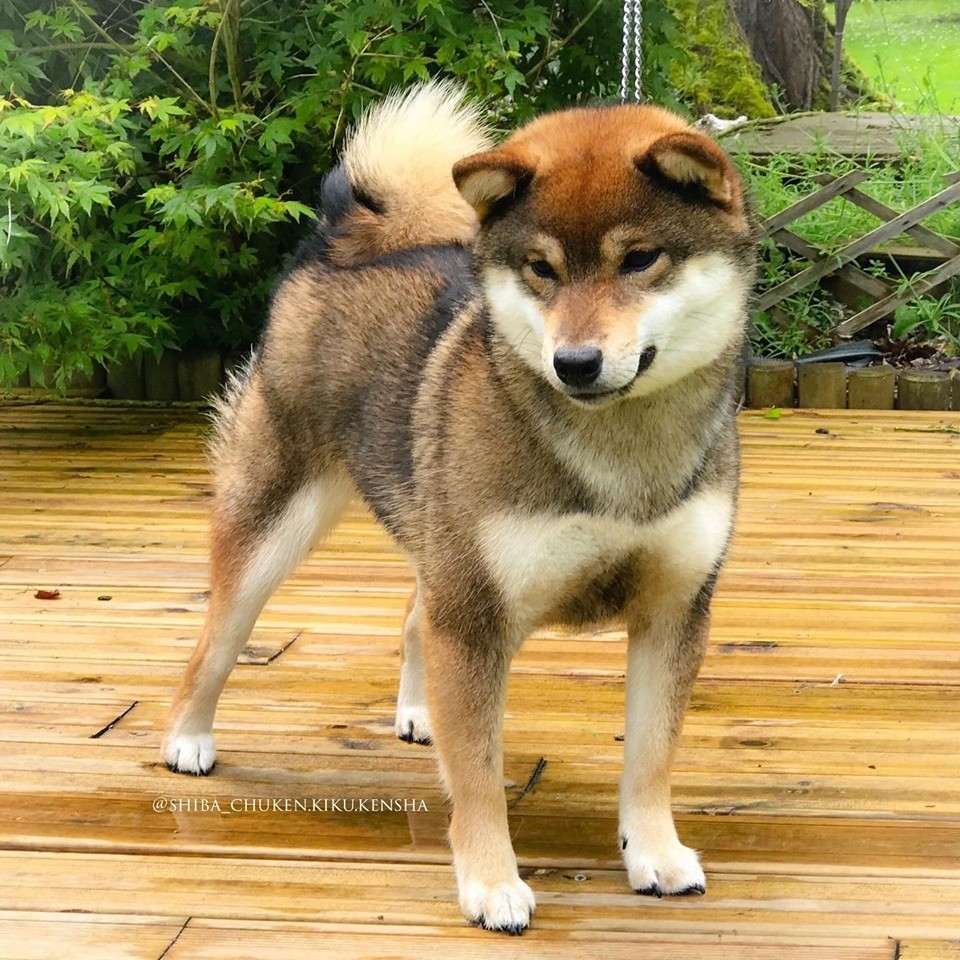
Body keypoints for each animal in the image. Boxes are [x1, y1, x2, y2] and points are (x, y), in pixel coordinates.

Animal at [162, 81, 756, 934]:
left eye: (640, 259)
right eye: (541, 268)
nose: (575, 363)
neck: (619, 456)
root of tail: (344, 242)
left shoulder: (674, 609)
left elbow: (650, 757)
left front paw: (654, 853)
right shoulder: (475, 616)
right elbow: (476, 774)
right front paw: (489, 881)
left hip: (436, 536)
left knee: (415, 613)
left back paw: (418, 712)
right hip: (279, 522)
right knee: (215, 640)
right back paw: (187, 735)